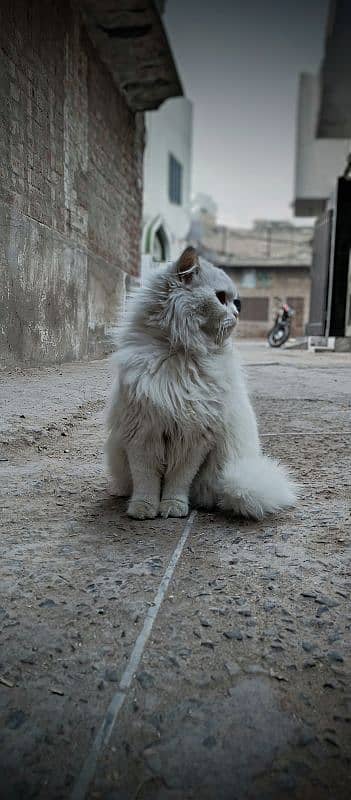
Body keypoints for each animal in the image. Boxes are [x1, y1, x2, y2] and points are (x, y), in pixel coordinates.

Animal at [106, 248, 298, 520]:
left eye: (236, 302)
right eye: (221, 298)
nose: (237, 314)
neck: (179, 355)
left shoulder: (194, 438)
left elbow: (178, 480)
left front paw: (172, 508)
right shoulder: (142, 433)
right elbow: (146, 480)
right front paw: (143, 509)